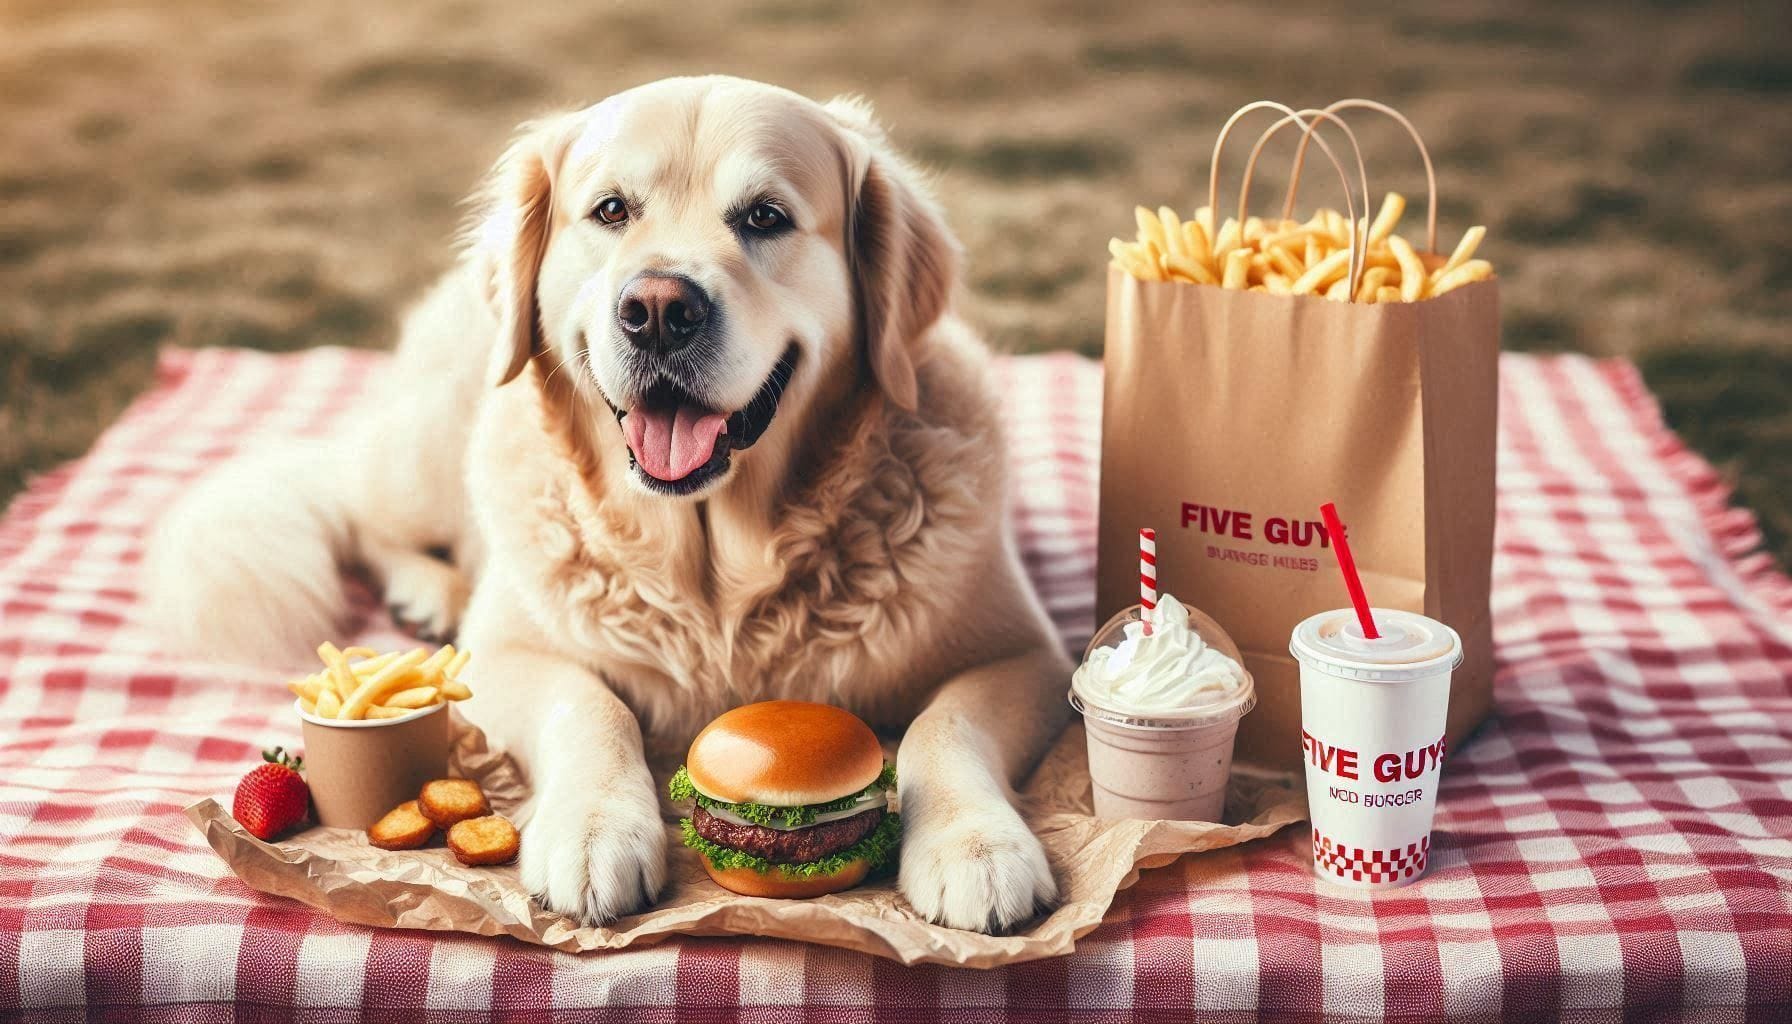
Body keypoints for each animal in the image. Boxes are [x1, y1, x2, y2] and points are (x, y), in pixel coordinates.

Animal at [146, 76, 1068, 932]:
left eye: (766, 216)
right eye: (612, 210)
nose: (658, 310)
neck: (716, 577)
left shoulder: (1025, 654)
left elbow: (943, 728)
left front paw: (977, 846)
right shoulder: (504, 656)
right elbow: (592, 707)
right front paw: (594, 831)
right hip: (425, 451)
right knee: (366, 513)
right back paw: (426, 591)